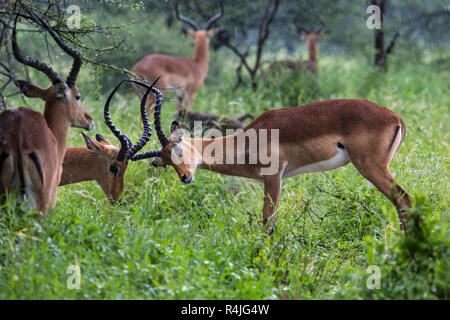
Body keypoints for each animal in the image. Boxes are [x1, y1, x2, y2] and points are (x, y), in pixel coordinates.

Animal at [130, 80, 412, 231]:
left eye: (178, 149)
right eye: (166, 162)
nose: (185, 177)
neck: (246, 140)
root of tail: (396, 117)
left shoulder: (274, 177)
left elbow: (268, 221)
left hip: (371, 166)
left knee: (404, 200)